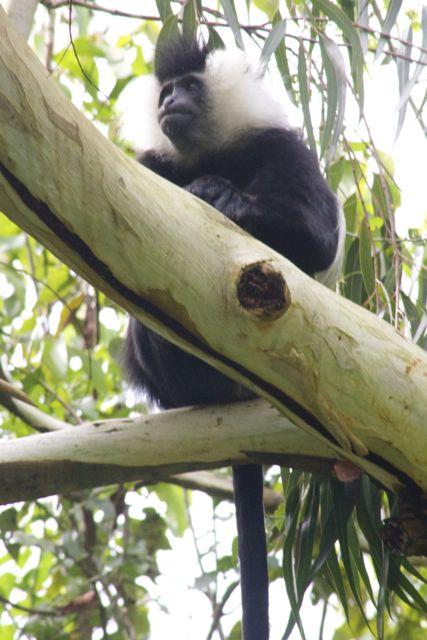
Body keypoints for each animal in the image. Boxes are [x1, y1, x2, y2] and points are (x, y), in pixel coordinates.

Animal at [123, 36, 344, 640]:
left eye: (189, 87)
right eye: (166, 91)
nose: (168, 101)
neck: (210, 154)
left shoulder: (283, 147)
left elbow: (315, 239)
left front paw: (219, 195)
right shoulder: (151, 165)